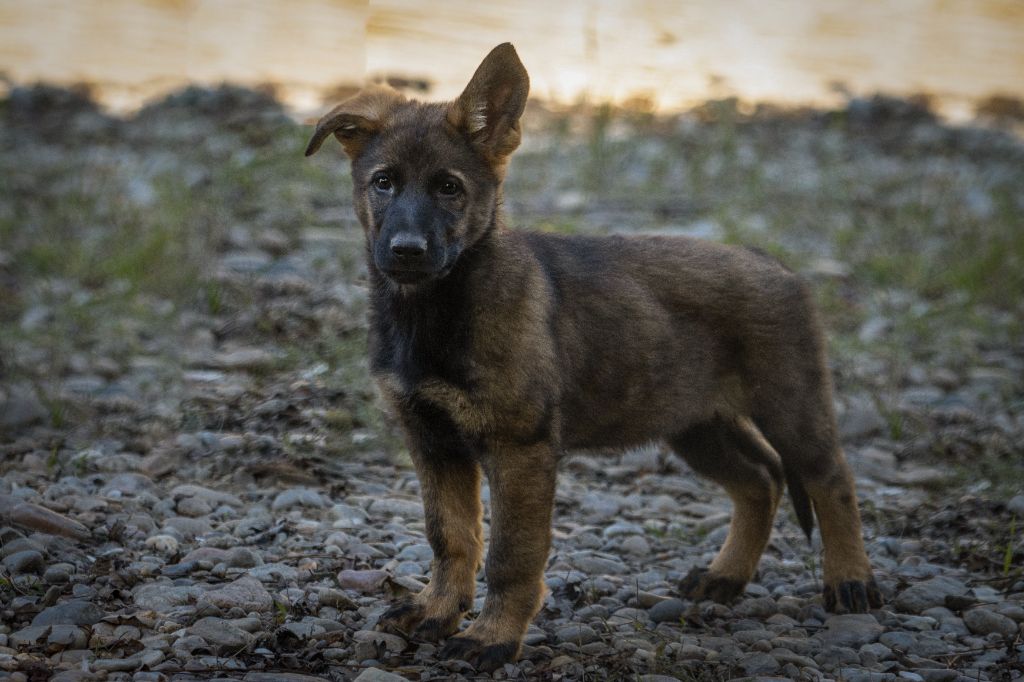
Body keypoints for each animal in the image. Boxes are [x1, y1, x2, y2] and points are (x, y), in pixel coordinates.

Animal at [305, 41, 880, 663]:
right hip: (695, 422)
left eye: (449, 188)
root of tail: (774, 263)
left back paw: (851, 581)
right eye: (383, 182)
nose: (407, 250)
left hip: (789, 403)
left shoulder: (519, 448)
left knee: (831, 479)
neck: (434, 311)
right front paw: (437, 611)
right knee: (761, 480)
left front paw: (493, 635)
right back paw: (724, 576)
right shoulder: (433, 441)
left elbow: (511, 555)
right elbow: (451, 537)